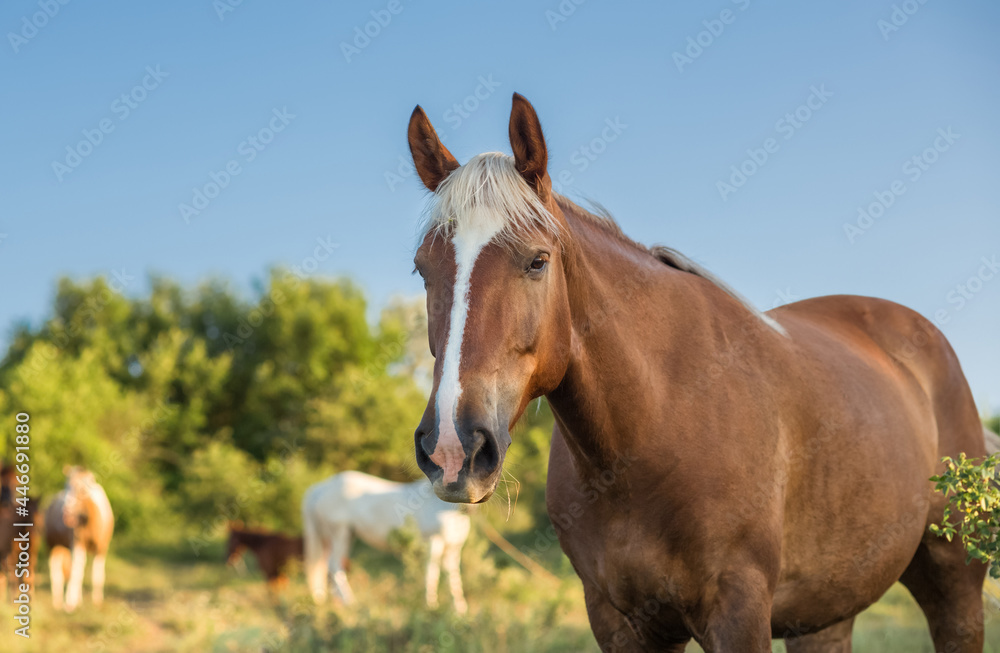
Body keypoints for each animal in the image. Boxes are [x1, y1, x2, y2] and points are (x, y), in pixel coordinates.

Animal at [43, 464, 114, 612]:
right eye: (66, 486)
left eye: (82, 489)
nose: (66, 510)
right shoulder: (77, 544)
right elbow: (76, 572)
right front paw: (70, 603)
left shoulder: (102, 548)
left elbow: (97, 574)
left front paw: (96, 602)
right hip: (53, 545)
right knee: (56, 570)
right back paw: (57, 602)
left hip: (65, 547)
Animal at [302, 468, 470, 612]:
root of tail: (319, 489)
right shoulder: (433, 542)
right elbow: (432, 572)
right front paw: (430, 606)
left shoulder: (453, 547)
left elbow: (453, 576)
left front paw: (459, 610)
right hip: (339, 534)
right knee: (334, 565)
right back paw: (349, 602)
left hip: (333, 538)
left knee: (324, 566)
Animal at [406, 94, 992, 648]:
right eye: (422, 269)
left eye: (537, 261)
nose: (453, 449)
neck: (658, 424)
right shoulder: (619, 622)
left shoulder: (738, 612)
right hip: (825, 612)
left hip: (954, 582)